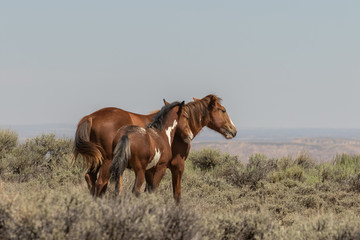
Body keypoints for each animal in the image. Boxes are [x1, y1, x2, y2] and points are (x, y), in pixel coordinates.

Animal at [73, 94, 238, 201]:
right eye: (223, 110)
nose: (233, 130)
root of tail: (91, 117)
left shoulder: (150, 169)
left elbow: (150, 189)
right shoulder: (177, 166)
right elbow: (176, 194)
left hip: (100, 161)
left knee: (91, 178)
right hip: (108, 162)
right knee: (101, 183)